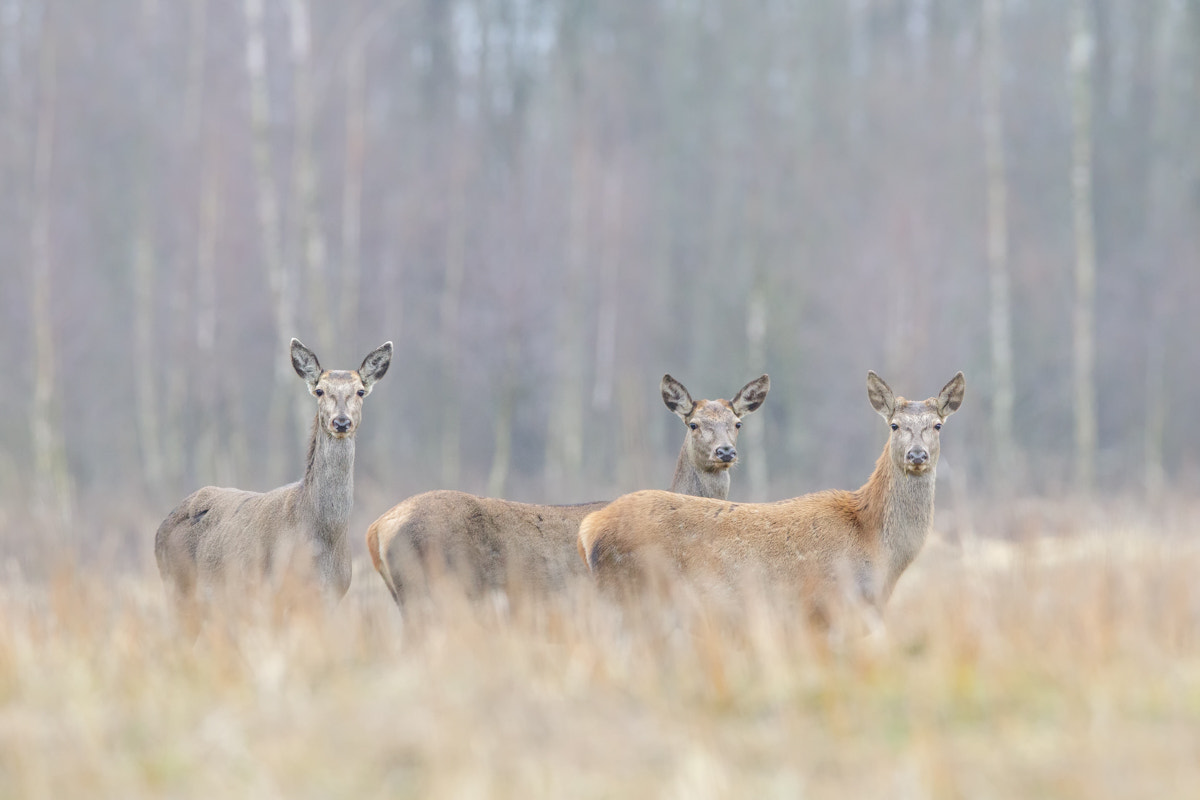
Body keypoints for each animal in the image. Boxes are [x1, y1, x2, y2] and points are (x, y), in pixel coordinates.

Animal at [154, 335, 393, 623]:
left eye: (360, 391)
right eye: (320, 390)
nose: (341, 422)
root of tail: (160, 530)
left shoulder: (331, 596)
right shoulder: (274, 594)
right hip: (179, 589)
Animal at [573, 371, 964, 623]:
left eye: (937, 425)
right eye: (895, 425)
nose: (916, 455)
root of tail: (589, 529)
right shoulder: (825, 608)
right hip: (632, 595)